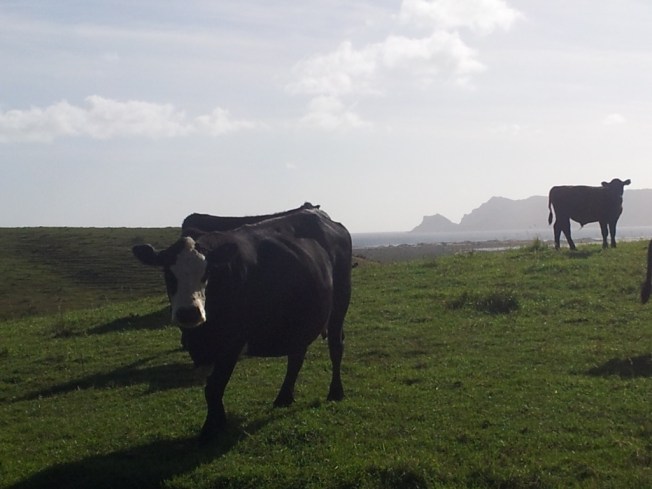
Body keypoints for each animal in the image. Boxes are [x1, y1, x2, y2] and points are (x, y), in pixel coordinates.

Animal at [132, 208, 352, 443]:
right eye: (168, 273)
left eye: (207, 273)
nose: (189, 313)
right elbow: (211, 388)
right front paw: (218, 422)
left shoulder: (232, 342)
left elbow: (214, 387)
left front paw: (210, 429)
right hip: (299, 320)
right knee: (296, 356)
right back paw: (284, 397)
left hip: (340, 303)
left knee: (336, 346)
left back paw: (335, 392)